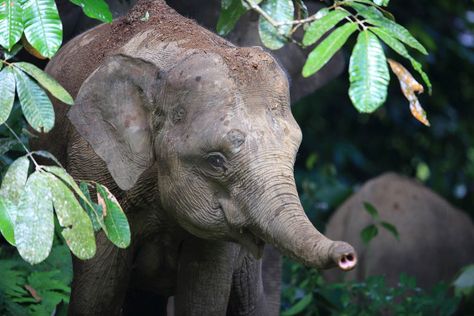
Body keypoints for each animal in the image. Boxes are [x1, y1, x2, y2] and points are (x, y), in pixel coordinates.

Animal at [36, 0, 356, 316]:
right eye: (216, 160)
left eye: (294, 153)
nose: (347, 256)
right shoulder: (94, 170)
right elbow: (97, 293)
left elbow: (204, 294)